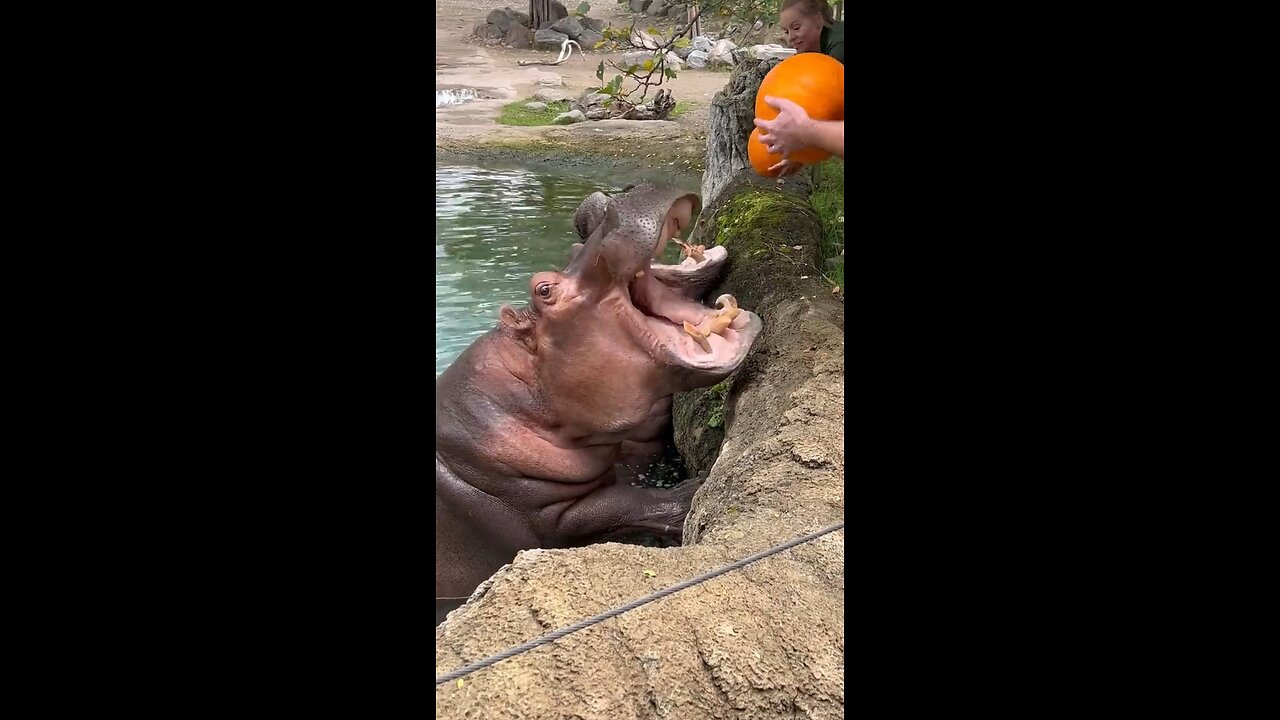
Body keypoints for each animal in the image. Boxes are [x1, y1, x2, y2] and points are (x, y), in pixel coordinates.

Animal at [435, 180, 762, 622]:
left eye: (575, 249)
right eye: (544, 289)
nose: (603, 202)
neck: (524, 390)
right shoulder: (550, 516)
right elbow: (625, 502)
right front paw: (695, 491)